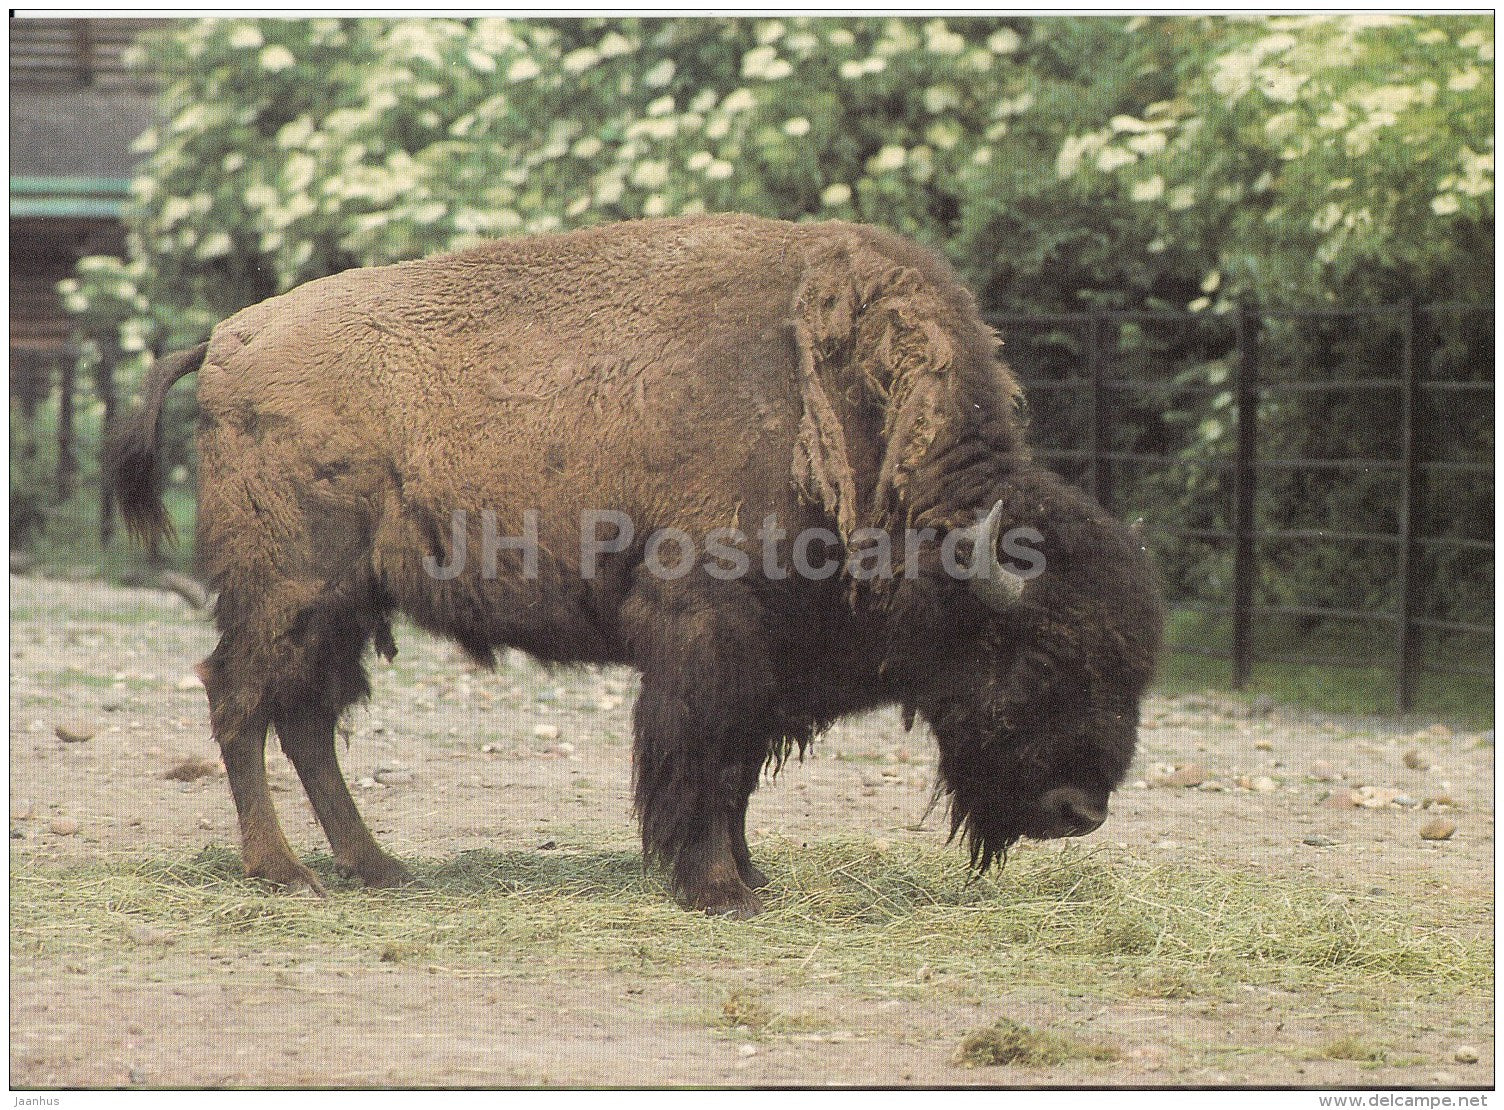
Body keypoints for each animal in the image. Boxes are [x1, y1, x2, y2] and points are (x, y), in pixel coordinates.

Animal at [109, 214, 1162, 917]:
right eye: (1037, 656)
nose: (1079, 811)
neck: (848, 420)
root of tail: (230, 338)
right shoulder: (707, 639)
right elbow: (701, 759)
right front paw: (715, 887)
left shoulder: (764, 665)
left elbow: (736, 773)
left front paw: (747, 876)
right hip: (289, 589)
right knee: (241, 702)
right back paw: (284, 872)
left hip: (347, 605)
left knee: (308, 721)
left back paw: (377, 867)